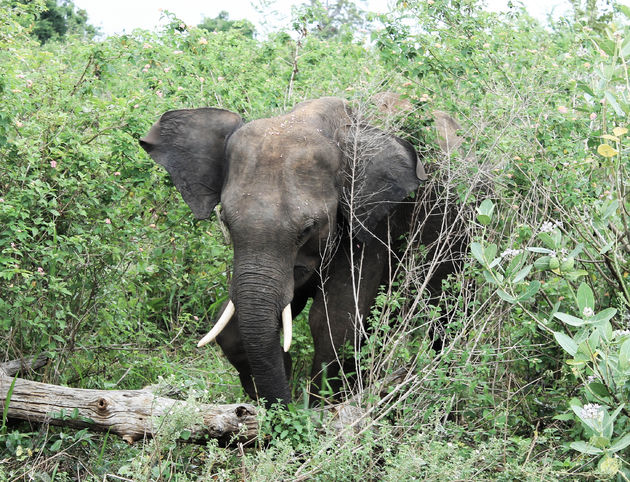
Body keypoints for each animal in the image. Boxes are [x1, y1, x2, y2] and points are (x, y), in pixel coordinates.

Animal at [139, 96, 434, 404]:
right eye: (226, 222)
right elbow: (235, 326)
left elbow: (335, 320)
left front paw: (319, 406)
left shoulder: (374, 222)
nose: (290, 402)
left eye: (307, 229)